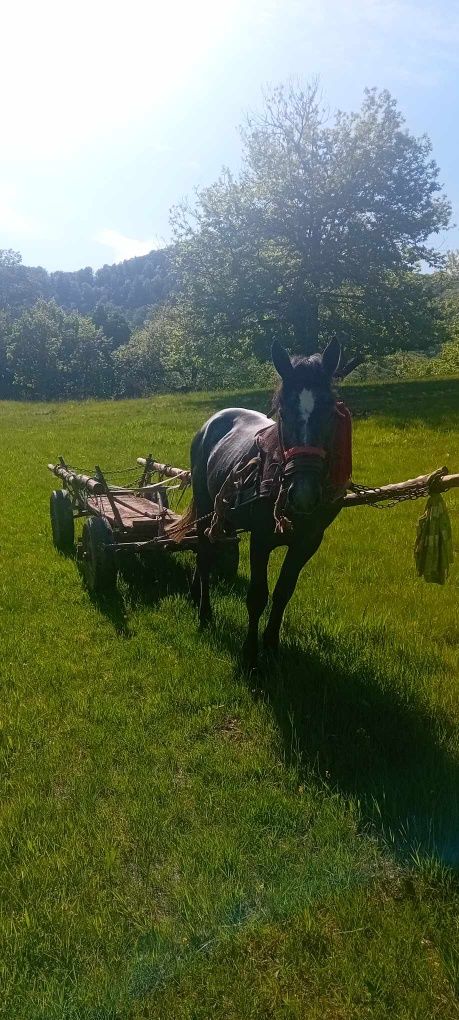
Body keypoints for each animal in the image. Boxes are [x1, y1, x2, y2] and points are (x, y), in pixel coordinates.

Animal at [186, 338, 344, 665]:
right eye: (282, 411)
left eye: (330, 410)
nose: (303, 492)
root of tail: (211, 422)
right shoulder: (261, 539)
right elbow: (258, 596)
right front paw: (249, 654)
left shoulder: (308, 541)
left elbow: (284, 592)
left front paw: (271, 645)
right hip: (206, 504)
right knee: (204, 554)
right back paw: (205, 614)